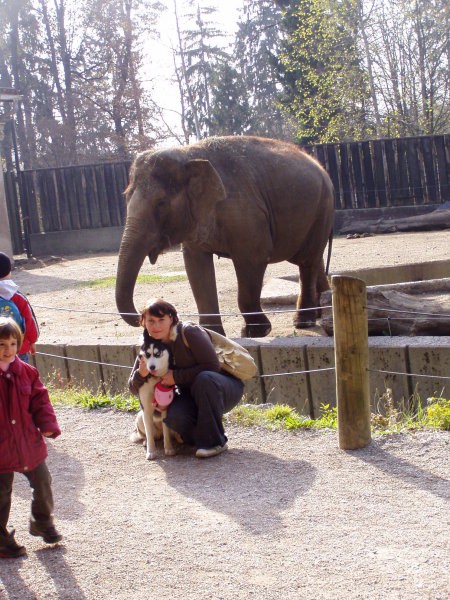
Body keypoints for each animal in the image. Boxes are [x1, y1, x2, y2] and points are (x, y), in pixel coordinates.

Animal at [116, 135, 334, 338]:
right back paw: (322, 311)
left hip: (322, 208)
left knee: (306, 261)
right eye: (125, 197)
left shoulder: (247, 216)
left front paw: (256, 332)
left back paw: (304, 322)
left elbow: (252, 258)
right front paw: (211, 334)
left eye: (161, 203)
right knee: (314, 259)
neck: (188, 153)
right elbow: (196, 266)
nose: (147, 312)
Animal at [139, 332, 176, 460]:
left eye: (157, 354)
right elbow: (149, 433)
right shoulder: (146, 410)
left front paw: (169, 449)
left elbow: (167, 433)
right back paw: (146, 441)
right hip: (139, 417)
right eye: (147, 354)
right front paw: (151, 451)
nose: (151, 367)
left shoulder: (165, 409)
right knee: (148, 434)